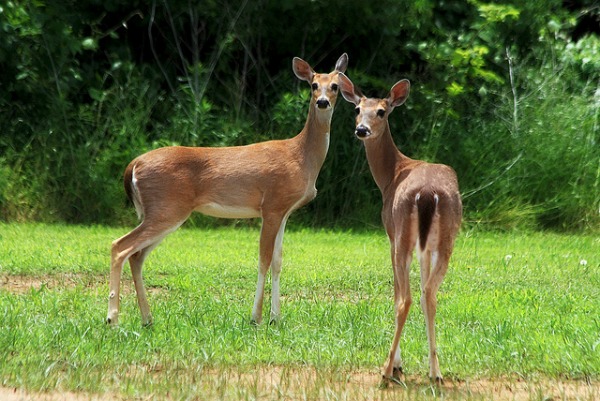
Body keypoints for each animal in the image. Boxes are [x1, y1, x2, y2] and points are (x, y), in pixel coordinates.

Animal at [106, 53, 350, 326]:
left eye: (335, 86)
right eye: (313, 85)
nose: (322, 102)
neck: (301, 157)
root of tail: (133, 165)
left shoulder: (284, 211)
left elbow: (278, 261)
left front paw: (275, 318)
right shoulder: (272, 205)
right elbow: (263, 259)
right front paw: (256, 317)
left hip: (163, 211)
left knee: (136, 256)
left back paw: (147, 318)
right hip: (167, 208)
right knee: (119, 246)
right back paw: (112, 319)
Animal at [338, 73, 464, 382]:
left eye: (381, 111)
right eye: (357, 109)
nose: (361, 130)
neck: (390, 175)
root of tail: (428, 193)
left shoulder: (390, 234)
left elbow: (396, 292)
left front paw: (397, 364)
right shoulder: (425, 249)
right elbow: (423, 288)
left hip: (403, 234)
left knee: (404, 299)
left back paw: (386, 371)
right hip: (446, 239)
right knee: (429, 295)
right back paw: (435, 372)